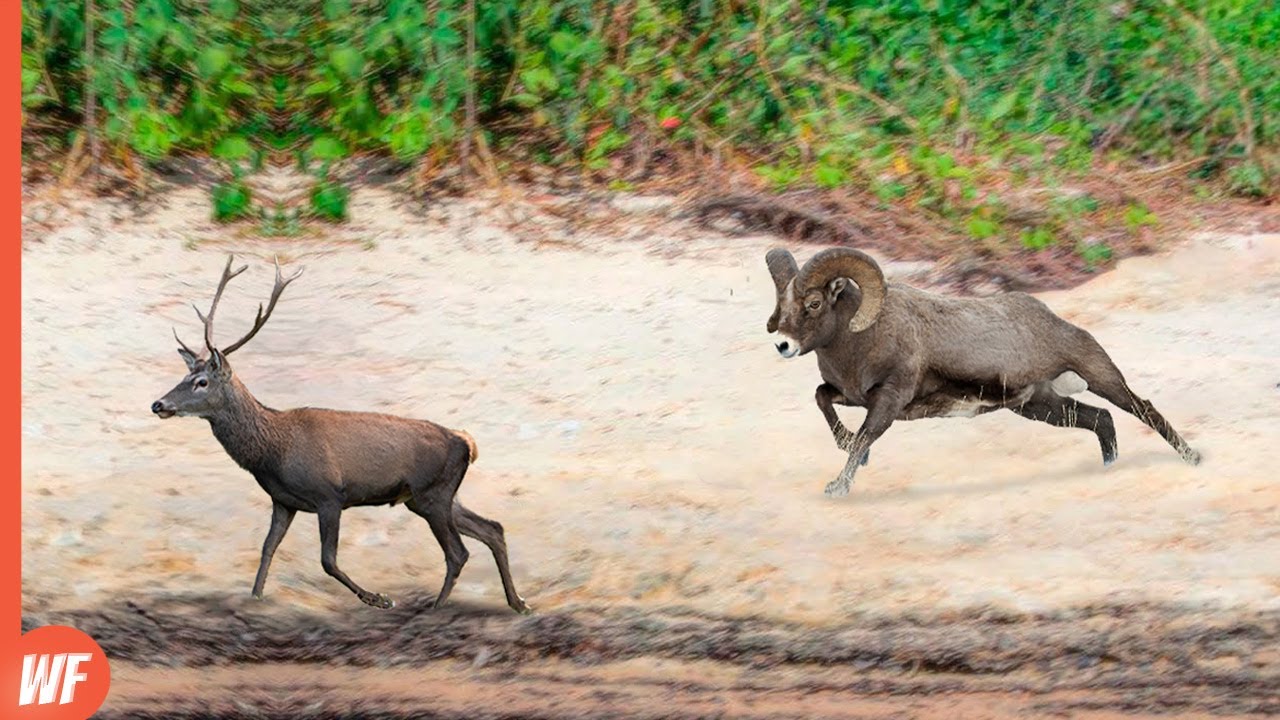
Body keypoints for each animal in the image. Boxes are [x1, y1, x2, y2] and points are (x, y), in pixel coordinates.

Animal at [151, 255, 531, 614]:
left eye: (202, 382)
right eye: (185, 376)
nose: (158, 404)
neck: (272, 451)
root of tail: (467, 442)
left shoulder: (329, 495)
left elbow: (328, 561)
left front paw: (379, 598)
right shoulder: (283, 501)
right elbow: (267, 548)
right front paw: (255, 598)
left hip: (432, 495)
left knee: (458, 552)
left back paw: (435, 609)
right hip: (437, 495)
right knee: (493, 529)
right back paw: (518, 603)